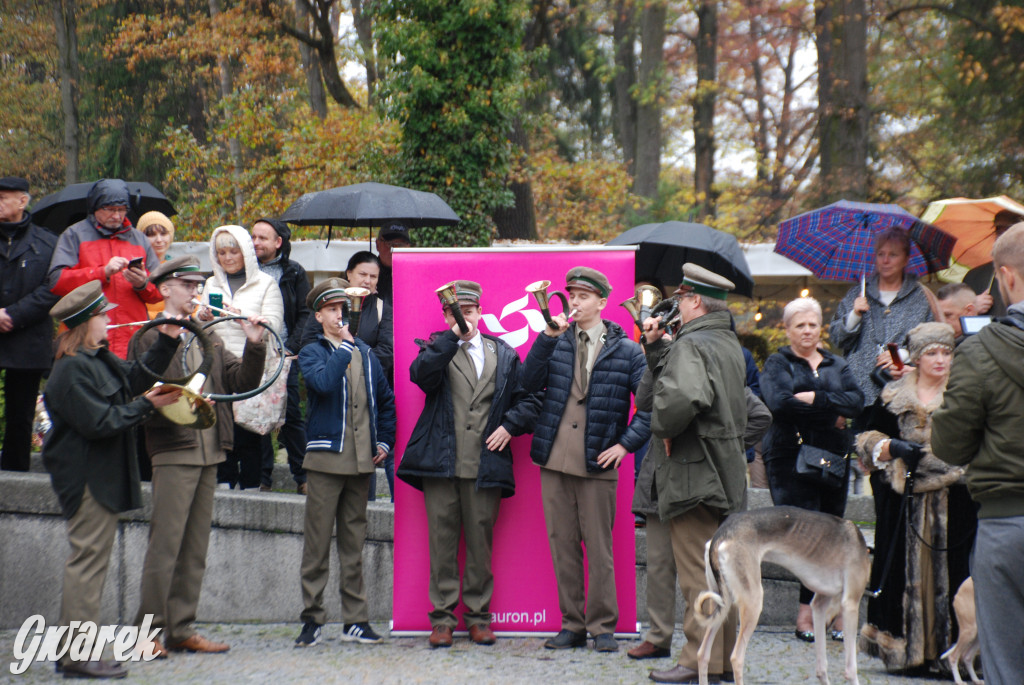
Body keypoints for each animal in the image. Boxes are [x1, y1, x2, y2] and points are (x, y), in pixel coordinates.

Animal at [692, 505, 868, 683]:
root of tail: (723, 531)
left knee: (702, 654)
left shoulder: (819, 604)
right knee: (736, 658)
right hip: (753, 602)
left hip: (723, 603)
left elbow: (821, 666)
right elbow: (851, 668)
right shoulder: (850, 605)